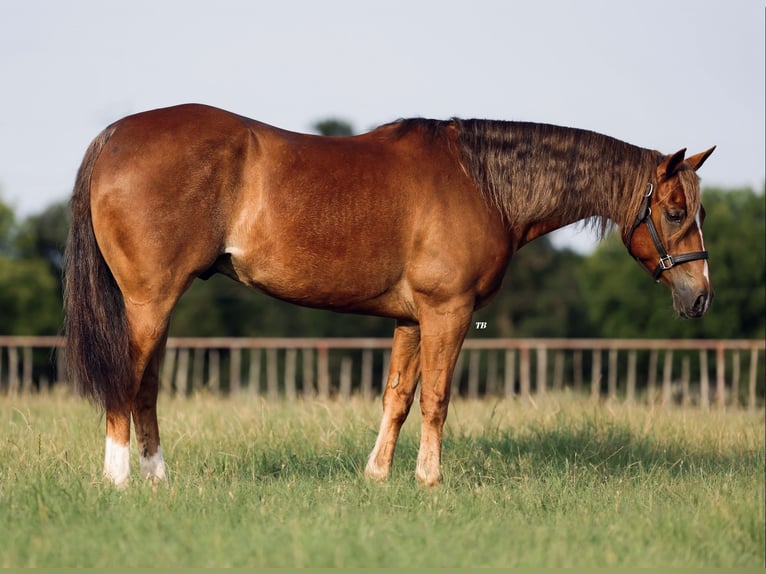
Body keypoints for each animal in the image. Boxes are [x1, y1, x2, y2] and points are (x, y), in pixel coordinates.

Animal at [63, 103, 716, 486]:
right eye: (675, 211)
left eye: (700, 212)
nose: (700, 297)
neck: (481, 182)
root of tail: (113, 135)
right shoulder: (447, 311)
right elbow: (437, 400)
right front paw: (430, 482)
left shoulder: (411, 318)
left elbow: (398, 397)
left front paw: (377, 477)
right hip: (149, 302)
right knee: (127, 382)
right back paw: (119, 482)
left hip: (158, 305)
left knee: (146, 387)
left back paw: (158, 480)